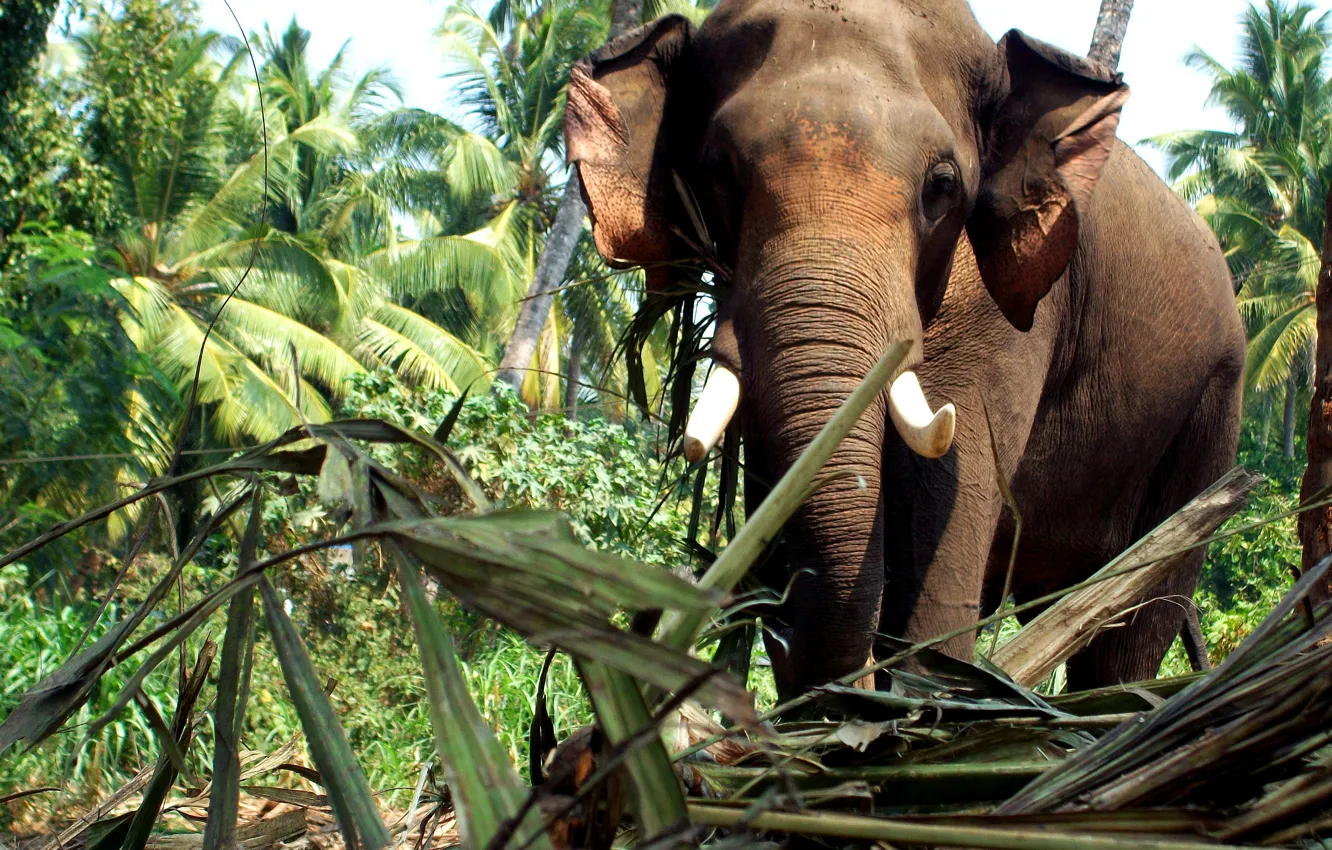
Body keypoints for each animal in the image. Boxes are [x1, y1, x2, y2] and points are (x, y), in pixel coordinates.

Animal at [564, 0, 1245, 698]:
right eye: (718, 171)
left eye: (941, 186)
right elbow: (774, 486)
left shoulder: (1003, 315)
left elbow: (942, 494)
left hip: (1213, 406)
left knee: (1137, 614)